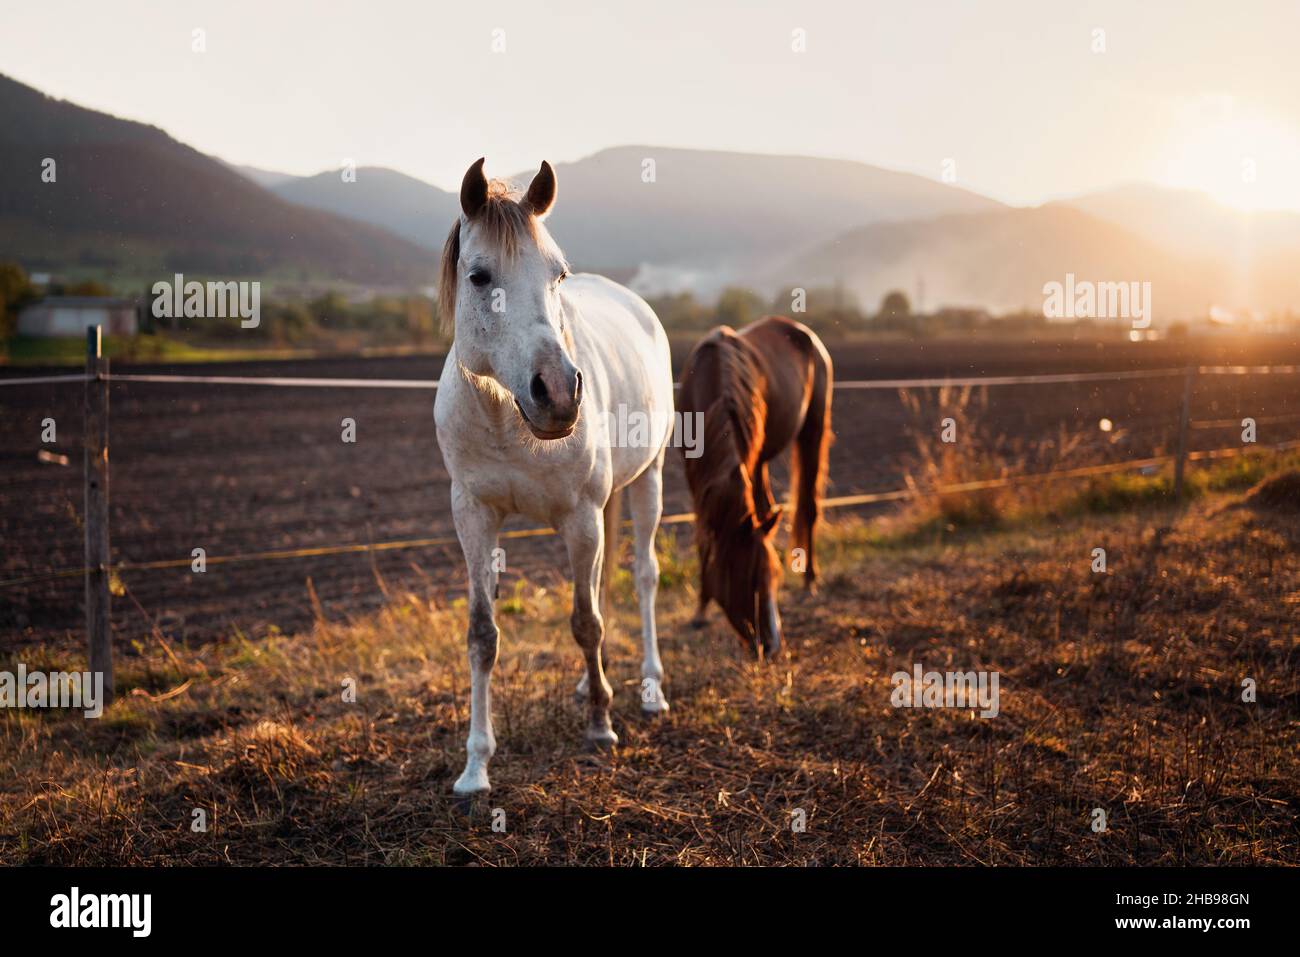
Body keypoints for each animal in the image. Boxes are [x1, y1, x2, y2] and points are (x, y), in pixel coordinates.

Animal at [434, 158, 675, 796]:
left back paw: (649, 689)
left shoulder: (580, 517)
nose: (560, 393)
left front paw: (600, 727)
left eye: (557, 274)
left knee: (643, 576)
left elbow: (586, 622)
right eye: (478, 275)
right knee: (606, 581)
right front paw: (475, 767)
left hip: (648, 480)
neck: (505, 417)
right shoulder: (473, 517)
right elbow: (482, 635)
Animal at [677, 315, 833, 658]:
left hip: (812, 428)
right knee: (767, 505)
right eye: (751, 580)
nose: (772, 646)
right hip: (760, 459)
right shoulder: (694, 477)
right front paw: (700, 611)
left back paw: (810, 581)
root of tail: (804, 332)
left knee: (809, 506)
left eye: (773, 577)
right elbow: (703, 539)